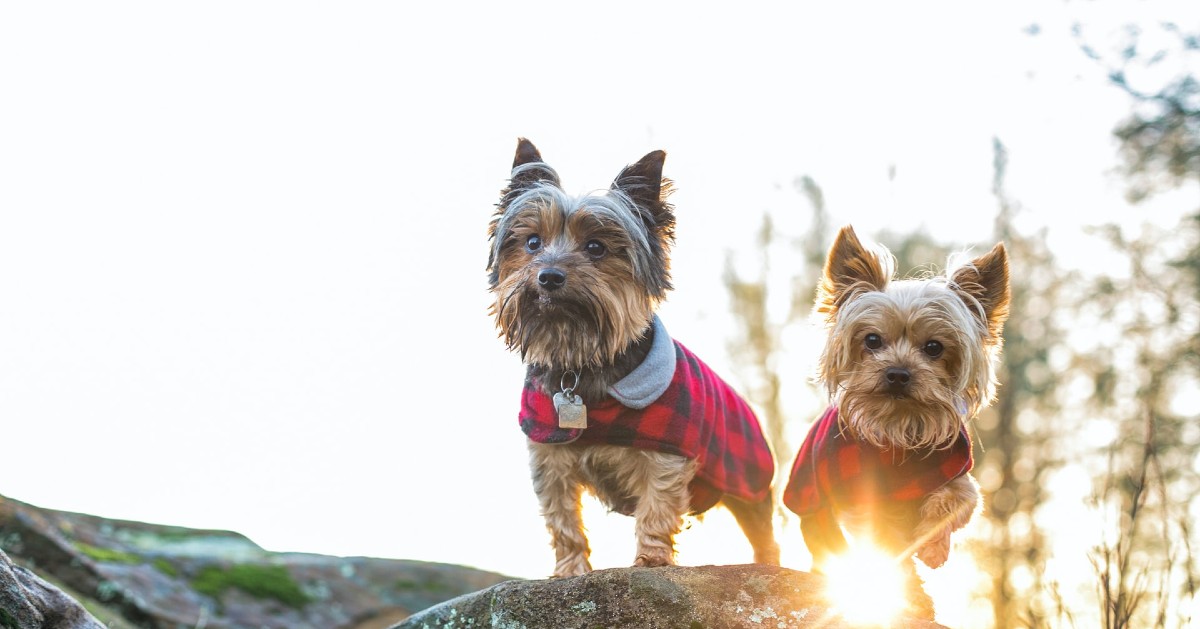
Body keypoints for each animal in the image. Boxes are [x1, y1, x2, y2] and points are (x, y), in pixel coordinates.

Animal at [482, 139, 782, 578]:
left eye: (596, 247)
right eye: (532, 242)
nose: (549, 276)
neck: (583, 361)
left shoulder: (667, 456)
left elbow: (657, 507)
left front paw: (651, 560)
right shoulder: (548, 457)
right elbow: (562, 518)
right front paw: (569, 570)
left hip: (748, 480)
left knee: (763, 530)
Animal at [782, 223, 1008, 614]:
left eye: (934, 347)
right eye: (872, 340)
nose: (898, 373)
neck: (898, 428)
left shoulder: (957, 473)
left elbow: (958, 501)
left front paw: (932, 547)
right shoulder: (860, 503)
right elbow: (886, 544)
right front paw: (909, 588)